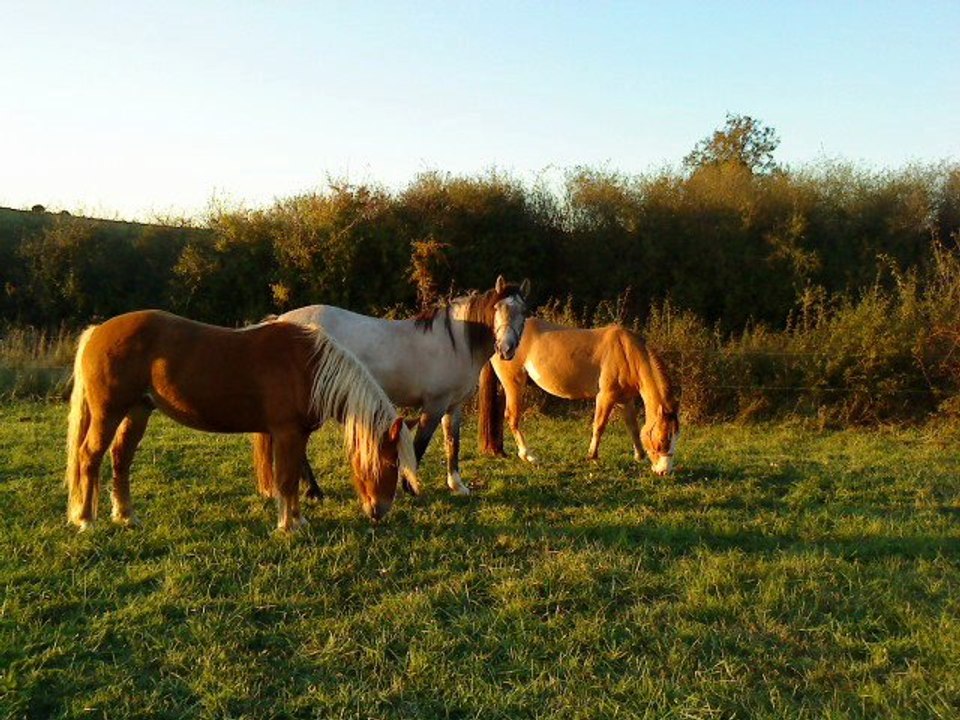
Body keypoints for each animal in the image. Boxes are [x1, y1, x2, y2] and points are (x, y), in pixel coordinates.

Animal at [64, 310, 420, 533]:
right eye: (391, 463)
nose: (380, 511)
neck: (307, 368)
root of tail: (98, 332)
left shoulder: (297, 435)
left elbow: (291, 477)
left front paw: (298, 521)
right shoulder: (287, 433)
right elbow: (286, 479)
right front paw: (288, 527)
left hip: (137, 411)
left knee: (120, 459)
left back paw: (126, 517)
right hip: (108, 413)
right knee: (89, 457)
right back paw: (86, 520)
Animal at [277, 275, 531, 495]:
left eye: (524, 312)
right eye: (496, 309)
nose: (506, 349)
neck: (456, 344)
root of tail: (279, 322)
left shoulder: (453, 406)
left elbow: (452, 443)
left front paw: (457, 485)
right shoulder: (434, 404)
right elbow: (420, 445)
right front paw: (408, 487)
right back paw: (313, 490)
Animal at [478, 318, 680, 475]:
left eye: (676, 437)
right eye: (663, 439)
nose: (664, 472)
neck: (627, 352)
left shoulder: (625, 400)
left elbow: (633, 427)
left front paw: (639, 456)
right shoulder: (606, 396)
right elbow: (599, 426)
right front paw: (592, 457)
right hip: (514, 384)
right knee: (512, 417)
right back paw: (528, 455)